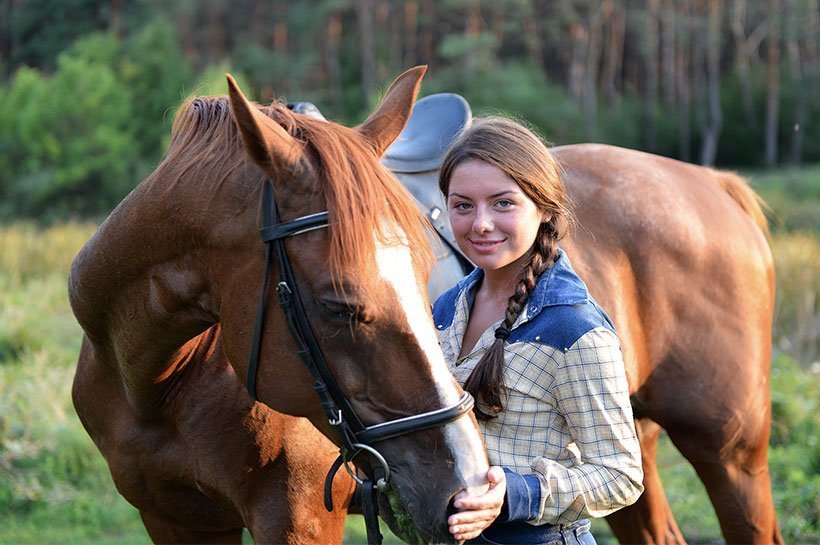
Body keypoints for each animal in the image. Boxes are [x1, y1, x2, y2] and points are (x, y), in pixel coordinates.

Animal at [69, 68, 486, 544]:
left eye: (423, 274)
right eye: (336, 307)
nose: (469, 483)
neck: (157, 387)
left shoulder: (298, 520)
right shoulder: (174, 520)